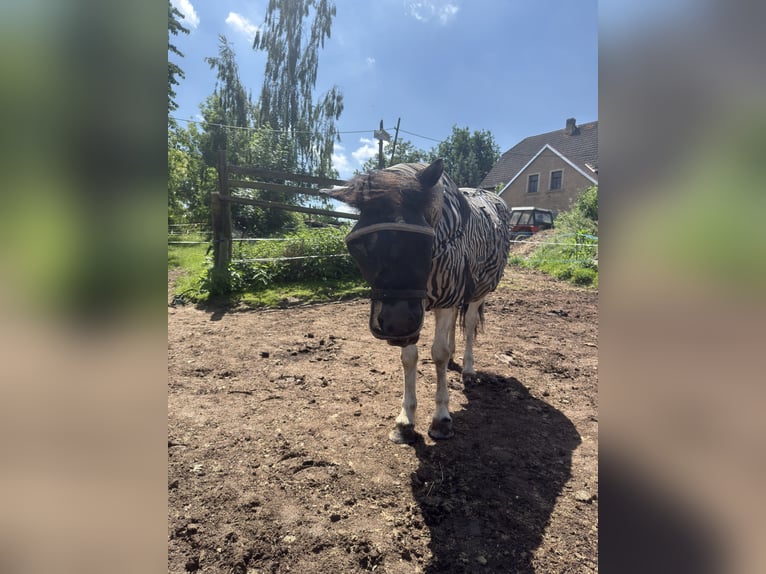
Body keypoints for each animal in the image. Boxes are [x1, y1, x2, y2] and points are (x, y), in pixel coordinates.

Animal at [325, 159, 512, 443]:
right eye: (357, 247)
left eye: (425, 240)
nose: (397, 324)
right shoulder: (421, 311)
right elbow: (409, 358)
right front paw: (405, 420)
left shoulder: (444, 298)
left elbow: (438, 354)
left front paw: (441, 418)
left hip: (478, 293)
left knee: (469, 325)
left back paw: (468, 370)